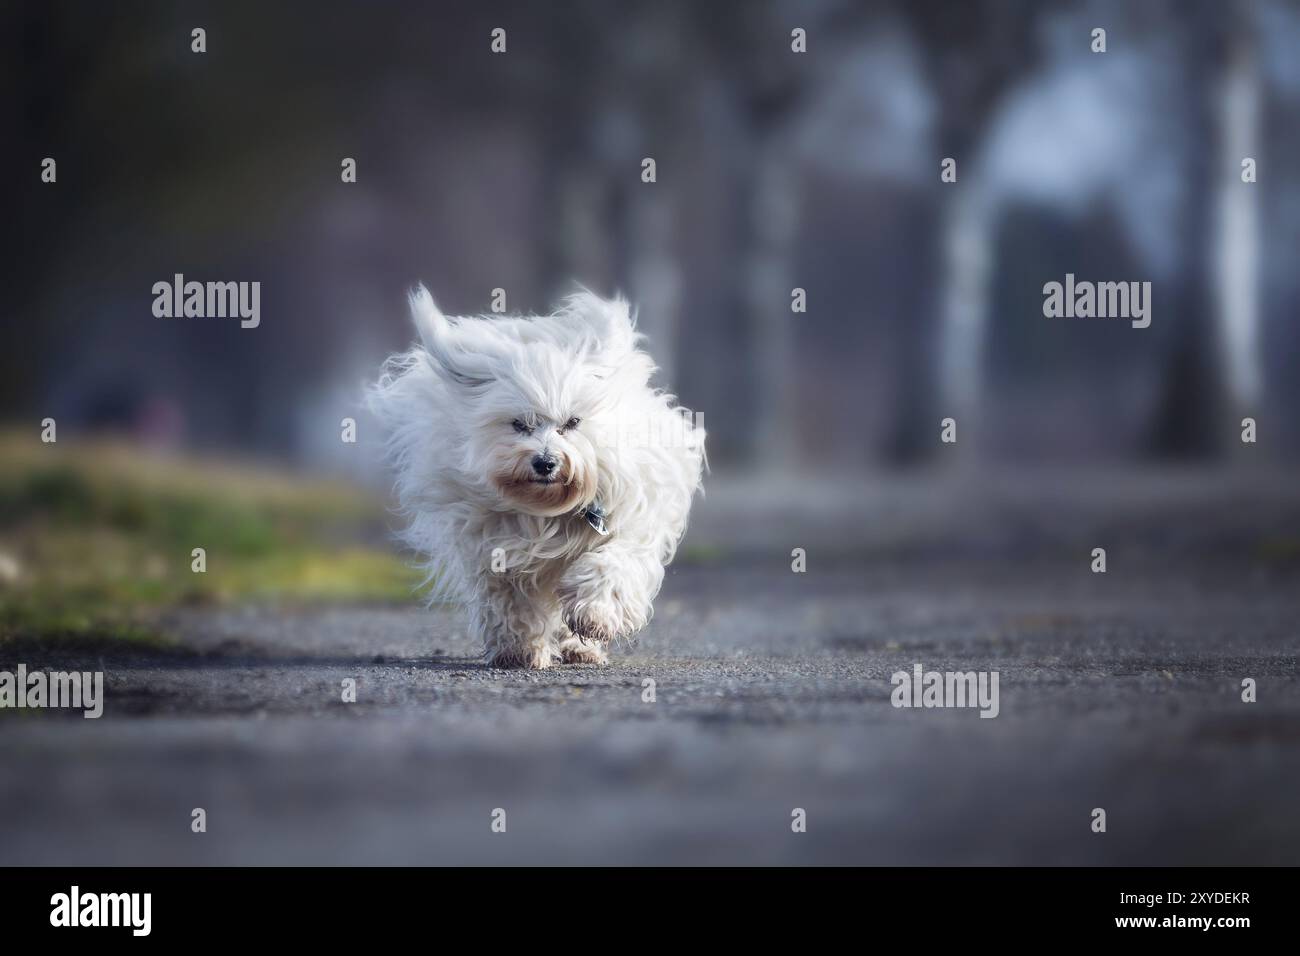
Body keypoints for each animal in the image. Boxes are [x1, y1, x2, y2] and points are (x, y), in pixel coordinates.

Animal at [371, 287, 707, 671]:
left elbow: (611, 566)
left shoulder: (627, 523)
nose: (545, 462)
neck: (548, 509)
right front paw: (519, 648)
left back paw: (582, 647)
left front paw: (593, 616)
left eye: (572, 422)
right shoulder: (493, 545)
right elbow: (510, 597)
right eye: (520, 424)